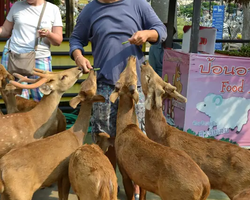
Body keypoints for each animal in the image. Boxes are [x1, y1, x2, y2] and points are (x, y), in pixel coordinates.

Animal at [109, 55, 209, 200]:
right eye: (124, 73)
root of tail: (205, 186)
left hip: (174, 195)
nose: (132, 57)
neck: (125, 127)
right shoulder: (141, 179)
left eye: (134, 75)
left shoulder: (124, 171)